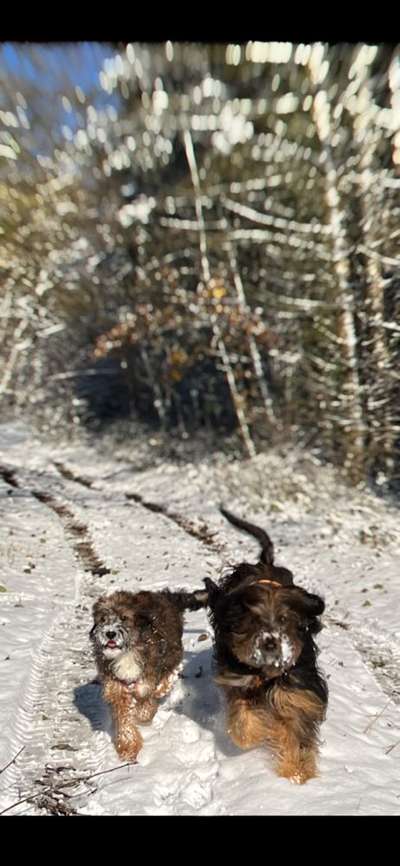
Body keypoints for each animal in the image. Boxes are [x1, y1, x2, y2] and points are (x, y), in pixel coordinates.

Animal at [90, 584, 206, 760]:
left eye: (124, 617)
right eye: (103, 619)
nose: (110, 633)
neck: (127, 652)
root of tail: (166, 597)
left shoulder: (147, 674)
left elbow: (145, 698)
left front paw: (143, 716)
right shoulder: (116, 687)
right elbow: (124, 718)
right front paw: (128, 746)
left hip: (172, 651)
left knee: (170, 672)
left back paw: (161, 689)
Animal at [206, 506, 328, 784]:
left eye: (283, 619)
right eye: (254, 620)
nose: (271, 643)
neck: (267, 674)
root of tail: (266, 565)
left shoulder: (297, 694)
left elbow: (296, 732)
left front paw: (296, 774)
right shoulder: (238, 681)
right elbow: (242, 718)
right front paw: (257, 734)